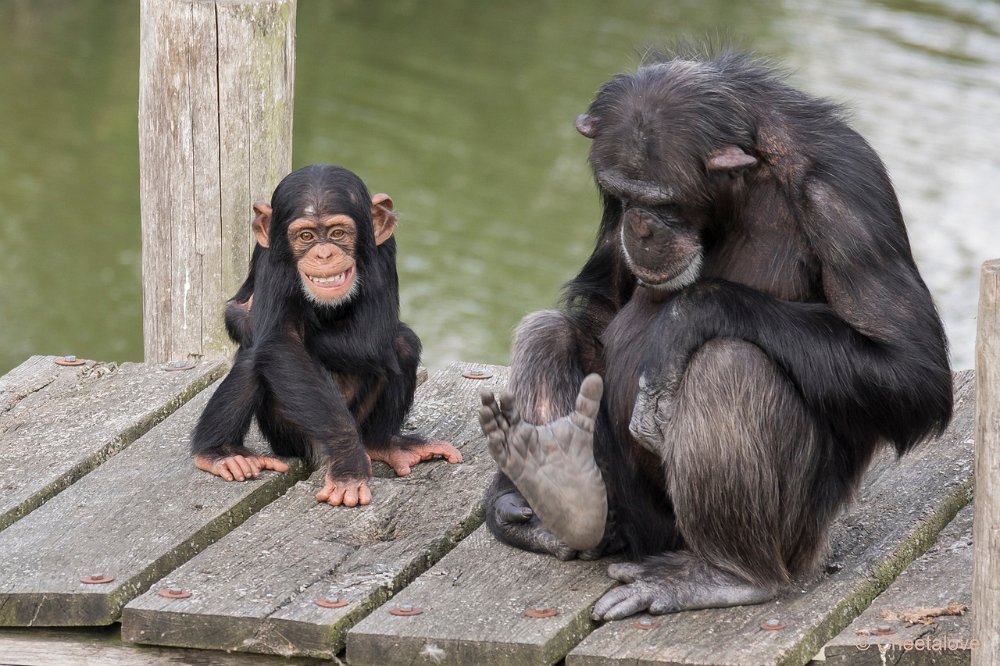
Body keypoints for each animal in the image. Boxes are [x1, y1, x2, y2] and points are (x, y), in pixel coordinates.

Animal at [191, 165, 460, 504]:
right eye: (305, 236)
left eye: (338, 233)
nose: (324, 253)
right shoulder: (272, 261)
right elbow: (281, 340)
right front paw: (348, 463)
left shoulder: (383, 251)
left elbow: (371, 337)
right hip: (289, 436)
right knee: (256, 356)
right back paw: (220, 452)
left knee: (401, 343)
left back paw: (386, 444)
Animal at [482, 52, 952, 616]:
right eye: (622, 196)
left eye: (665, 202)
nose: (639, 227)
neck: (747, 180)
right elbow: (603, 304)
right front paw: (508, 492)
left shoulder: (844, 195)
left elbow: (909, 367)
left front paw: (685, 318)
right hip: (631, 508)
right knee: (547, 331)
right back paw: (562, 495)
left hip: (793, 539)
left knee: (728, 362)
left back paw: (725, 573)